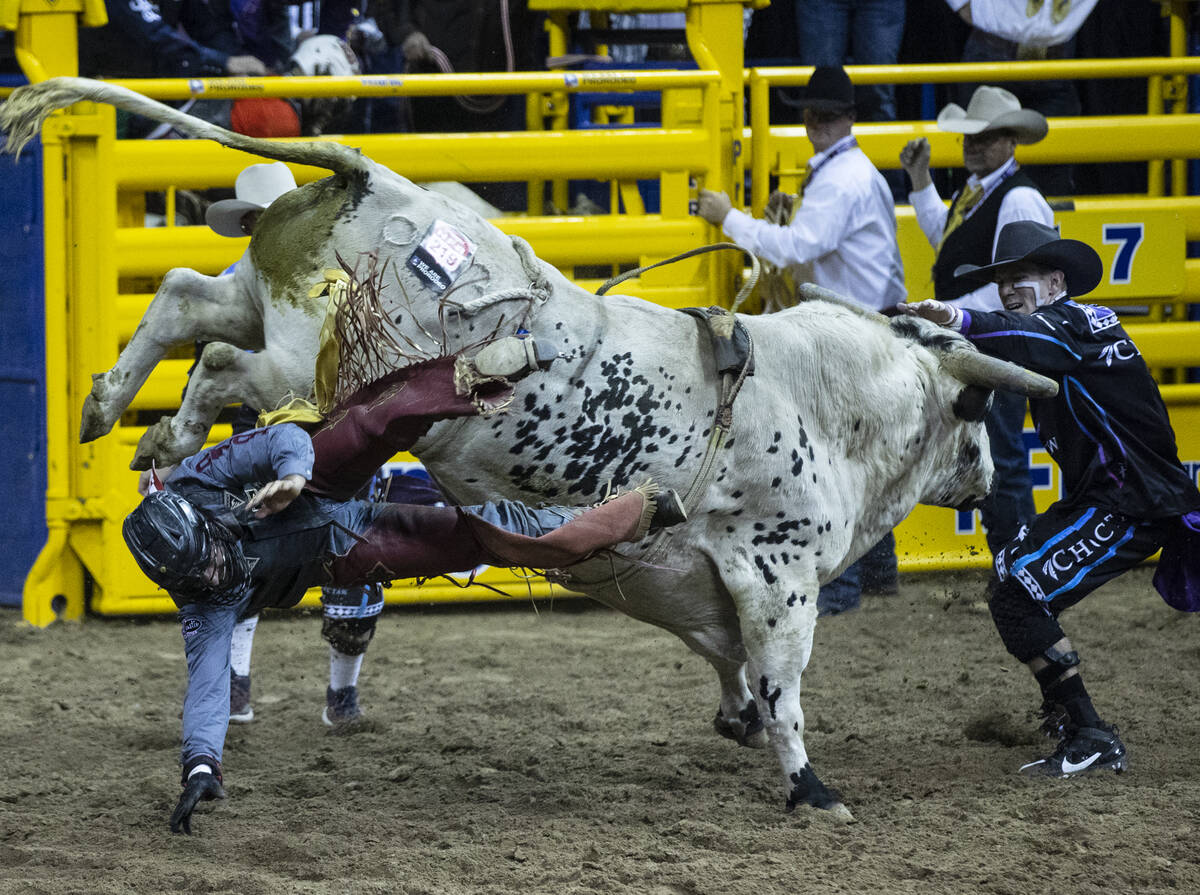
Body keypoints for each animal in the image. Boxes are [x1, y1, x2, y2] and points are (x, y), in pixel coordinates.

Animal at [0, 80, 1056, 820]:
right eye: (976, 415)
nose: (991, 476)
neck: (817, 396)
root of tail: (378, 178)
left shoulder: (694, 584)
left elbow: (730, 663)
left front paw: (737, 722)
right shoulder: (777, 571)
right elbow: (783, 681)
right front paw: (812, 787)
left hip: (266, 302)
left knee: (186, 299)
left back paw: (114, 410)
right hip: (311, 366)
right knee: (226, 364)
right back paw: (169, 431)